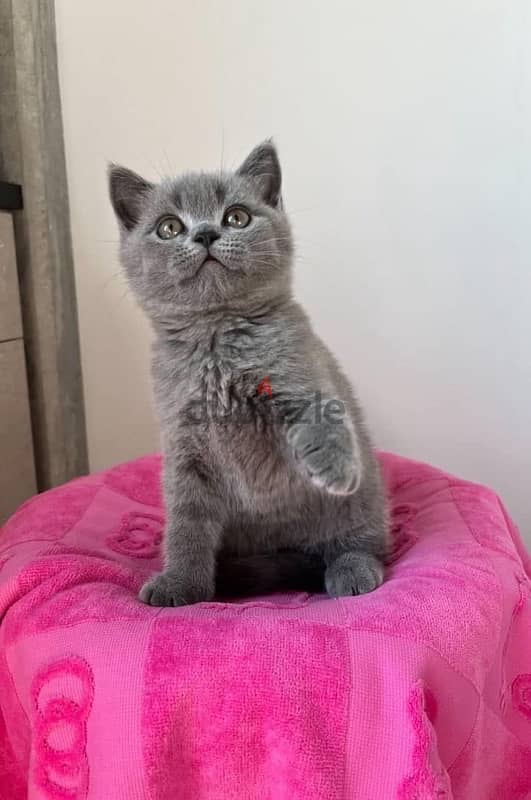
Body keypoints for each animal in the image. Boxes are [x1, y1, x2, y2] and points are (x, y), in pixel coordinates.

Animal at [109, 141, 390, 604]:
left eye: (236, 217)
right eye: (169, 227)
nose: (206, 233)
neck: (216, 335)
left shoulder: (299, 371)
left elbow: (320, 415)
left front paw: (332, 466)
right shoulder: (183, 450)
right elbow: (186, 526)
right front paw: (181, 584)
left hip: (365, 500)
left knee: (359, 540)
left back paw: (353, 568)